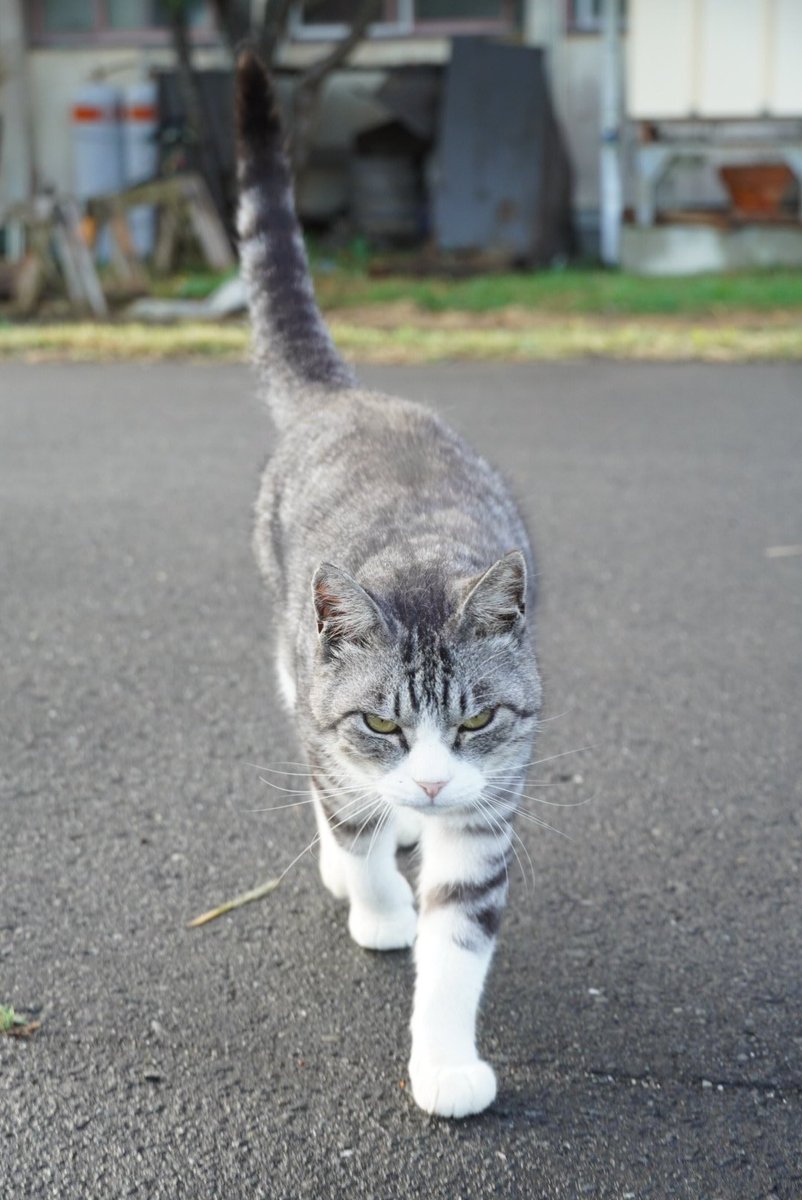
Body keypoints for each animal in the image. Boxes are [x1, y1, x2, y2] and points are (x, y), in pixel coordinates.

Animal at [235, 46, 542, 1113]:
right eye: (380, 719)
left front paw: (444, 1063)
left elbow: (456, 944)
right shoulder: (335, 728)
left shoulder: (489, 809)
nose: (435, 778)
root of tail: (349, 395)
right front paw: (374, 905)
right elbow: (354, 823)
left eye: (478, 718)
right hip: (288, 651)